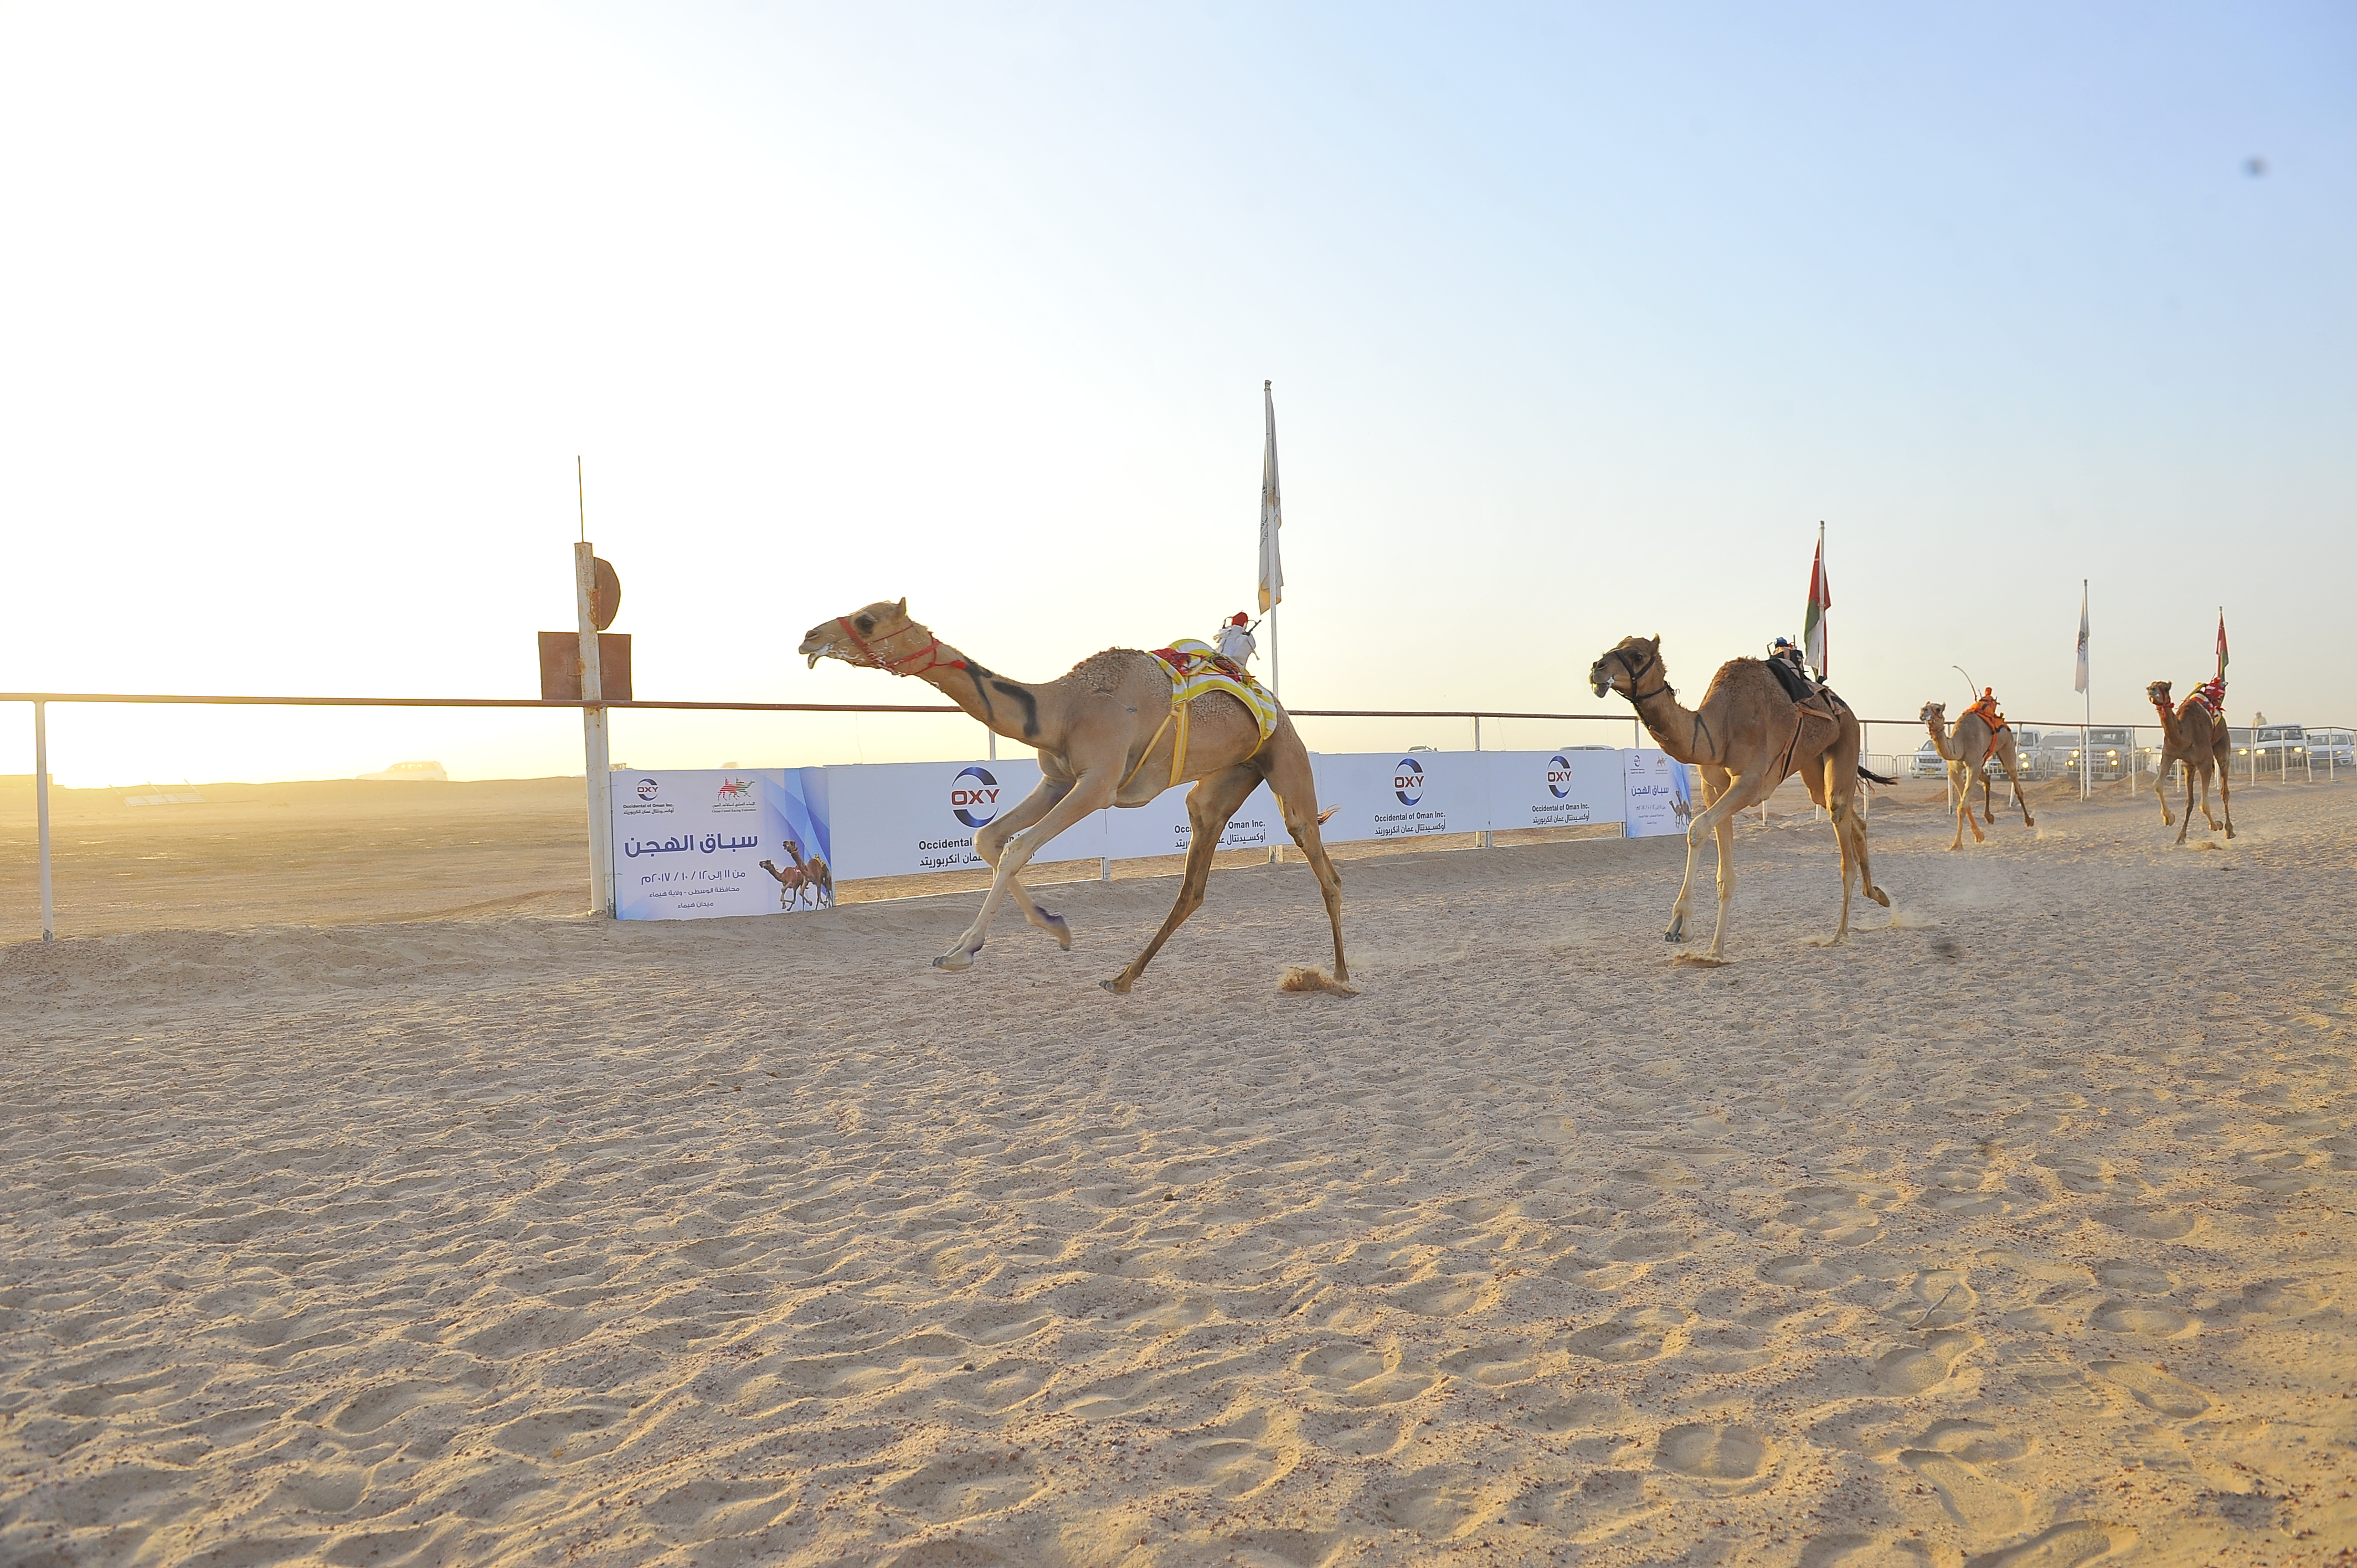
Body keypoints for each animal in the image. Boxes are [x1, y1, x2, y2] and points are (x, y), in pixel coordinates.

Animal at [796, 599, 1348, 990]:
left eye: (867, 620)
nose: (808, 637)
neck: (1065, 708)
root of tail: (1277, 708)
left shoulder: (1097, 785)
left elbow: (1017, 848)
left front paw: (960, 951)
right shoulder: (1056, 780)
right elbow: (988, 841)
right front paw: (1055, 926)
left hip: (1287, 764)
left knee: (1323, 866)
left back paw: (1341, 977)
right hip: (1220, 788)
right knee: (1193, 885)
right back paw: (1123, 978)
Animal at [1584, 632, 1895, 952]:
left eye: (1637, 656)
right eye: (1614, 647)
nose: (1597, 669)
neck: (1718, 730)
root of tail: (1843, 707)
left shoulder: (1750, 784)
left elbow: (1697, 828)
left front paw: (1681, 926)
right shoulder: (1713, 787)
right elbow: (1723, 870)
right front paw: (1714, 950)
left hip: (1847, 737)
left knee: (1840, 821)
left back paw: (1840, 933)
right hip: (1813, 764)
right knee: (1849, 815)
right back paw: (1878, 895)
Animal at [1904, 698, 2036, 844]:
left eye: (1938, 709)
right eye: (1925, 707)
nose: (1923, 712)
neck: (1961, 743)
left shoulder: (1973, 766)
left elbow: (1962, 806)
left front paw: (1957, 844)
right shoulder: (1955, 771)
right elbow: (1966, 804)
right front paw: (1979, 835)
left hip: (2007, 747)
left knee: (2016, 783)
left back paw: (2029, 820)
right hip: (1983, 760)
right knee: (1987, 779)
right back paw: (1989, 817)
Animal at [2149, 674, 2234, 839]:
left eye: (2166, 687)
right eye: (2150, 686)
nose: (2151, 690)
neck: (2185, 737)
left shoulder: (2205, 763)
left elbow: (2204, 805)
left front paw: (2216, 825)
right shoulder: (2169, 754)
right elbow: (2157, 784)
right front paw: (2169, 818)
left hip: (2223, 744)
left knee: (2225, 791)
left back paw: (2229, 830)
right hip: (2190, 766)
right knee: (2190, 801)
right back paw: (2181, 835)